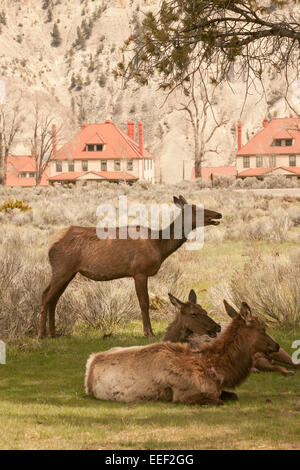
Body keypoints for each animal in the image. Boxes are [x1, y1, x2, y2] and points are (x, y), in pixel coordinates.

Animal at [38, 195, 223, 338]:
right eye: (196, 209)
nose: (219, 214)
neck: (159, 246)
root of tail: (49, 245)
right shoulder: (139, 271)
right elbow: (144, 302)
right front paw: (149, 333)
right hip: (62, 268)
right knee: (45, 295)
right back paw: (41, 335)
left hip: (69, 272)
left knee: (54, 298)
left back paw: (53, 333)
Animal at [84, 302, 278, 406]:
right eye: (263, 329)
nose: (276, 346)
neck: (215, 370)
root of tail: (90, 363)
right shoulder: (185, 395)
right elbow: (219, 401)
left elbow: (233, 396)